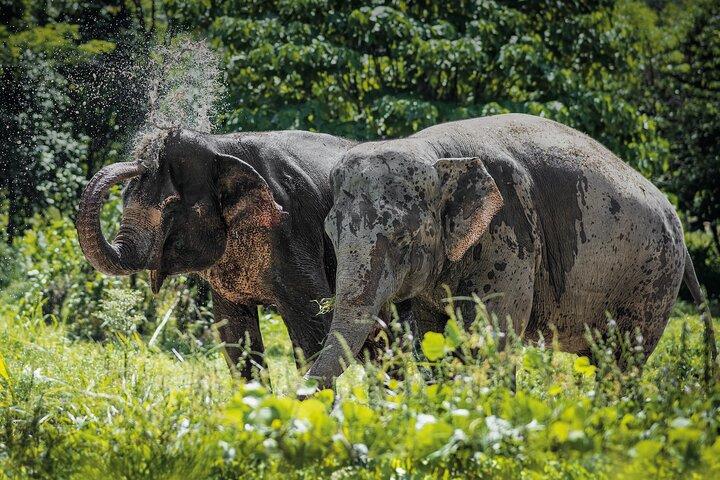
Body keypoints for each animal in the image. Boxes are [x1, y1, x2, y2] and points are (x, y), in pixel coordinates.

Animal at [76, 128, 355, 379]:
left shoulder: (293, 231)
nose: (141, 161)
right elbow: (234, 336)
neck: (219, 146)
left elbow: (315, 327)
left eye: (172, 209)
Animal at [306, 113, 717, 388]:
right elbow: (432, 337)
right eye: (331, 234)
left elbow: (492, 337)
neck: (436, 154)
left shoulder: (510, 235)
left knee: (623, 359)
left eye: (405, 239)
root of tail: (674, 218)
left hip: (653, 278)